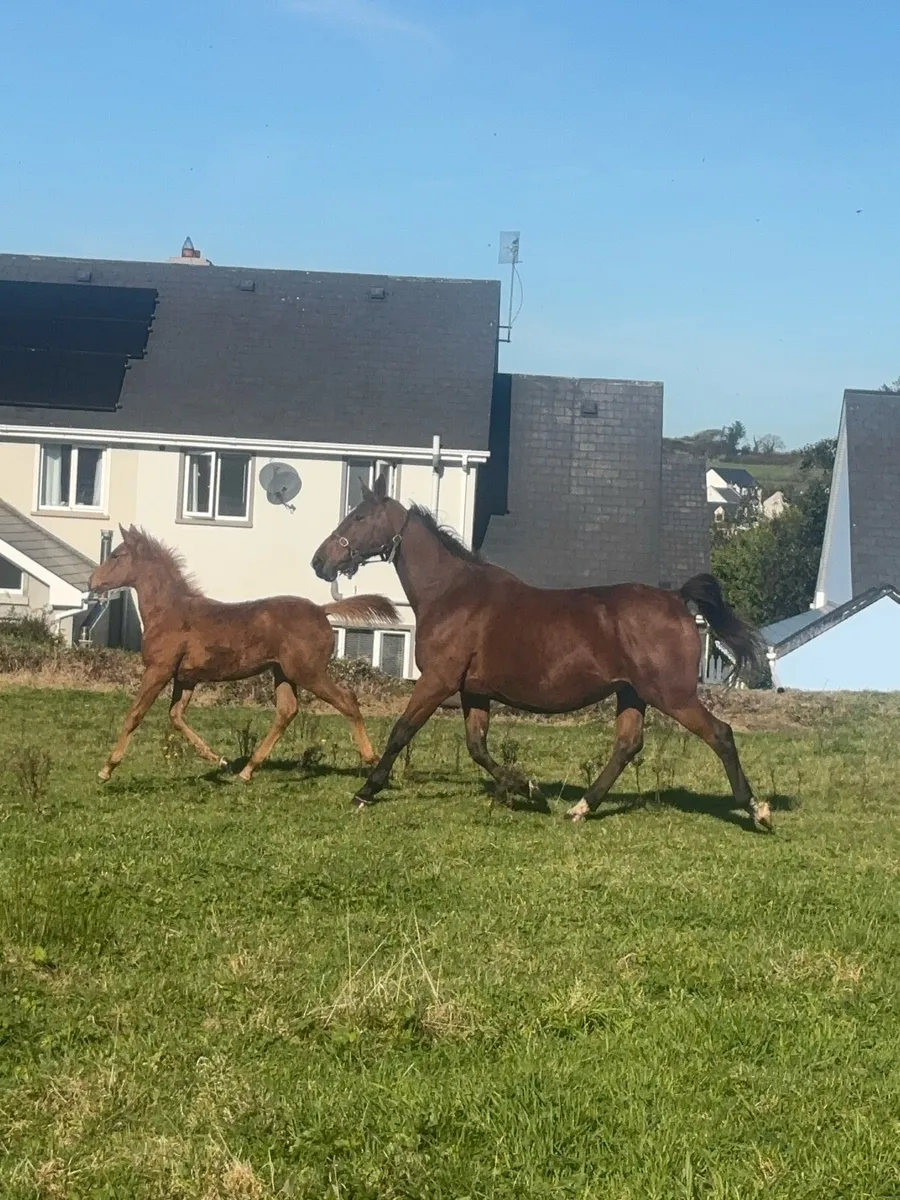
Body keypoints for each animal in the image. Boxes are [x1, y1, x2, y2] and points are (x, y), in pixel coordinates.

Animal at [88, 525, 399, 783]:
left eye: (116, 555)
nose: (92, 582)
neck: (169, 611)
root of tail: (322, 610)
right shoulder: (186, 677)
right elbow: (176, 716)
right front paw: (219, 759)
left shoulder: (159, 669)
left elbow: (135, 714)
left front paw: (106, 769)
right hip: (283, 672)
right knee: (287, 710)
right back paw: (248, 770)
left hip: (307, 672)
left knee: (347, 700)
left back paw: (371, 759)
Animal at [311, 476, 772, 831]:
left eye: (359, 517)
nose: (319, 561)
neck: (451, 594)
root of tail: (678, 599)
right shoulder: (473, 691)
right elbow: (477, 747)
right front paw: (527, 789)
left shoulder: (438, 680)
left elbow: (402, 731)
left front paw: (366, 791)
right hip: (632, 693)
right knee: (627, 745)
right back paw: (580, 807)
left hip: (672, 695)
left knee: (720, 734)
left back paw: (757, 810)